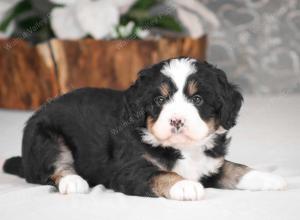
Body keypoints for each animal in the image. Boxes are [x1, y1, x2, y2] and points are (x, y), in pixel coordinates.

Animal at [3, 57, 288, 200]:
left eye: (197, 99)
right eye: (160, 100)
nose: (176, 121)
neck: (184, 149)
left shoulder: (211, 165)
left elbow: (234, 168)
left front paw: (269, 178)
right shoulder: (130, 169)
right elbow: (162, 174)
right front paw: (184, 186)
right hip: (45, 137)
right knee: (54, 166)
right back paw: (73, 181)